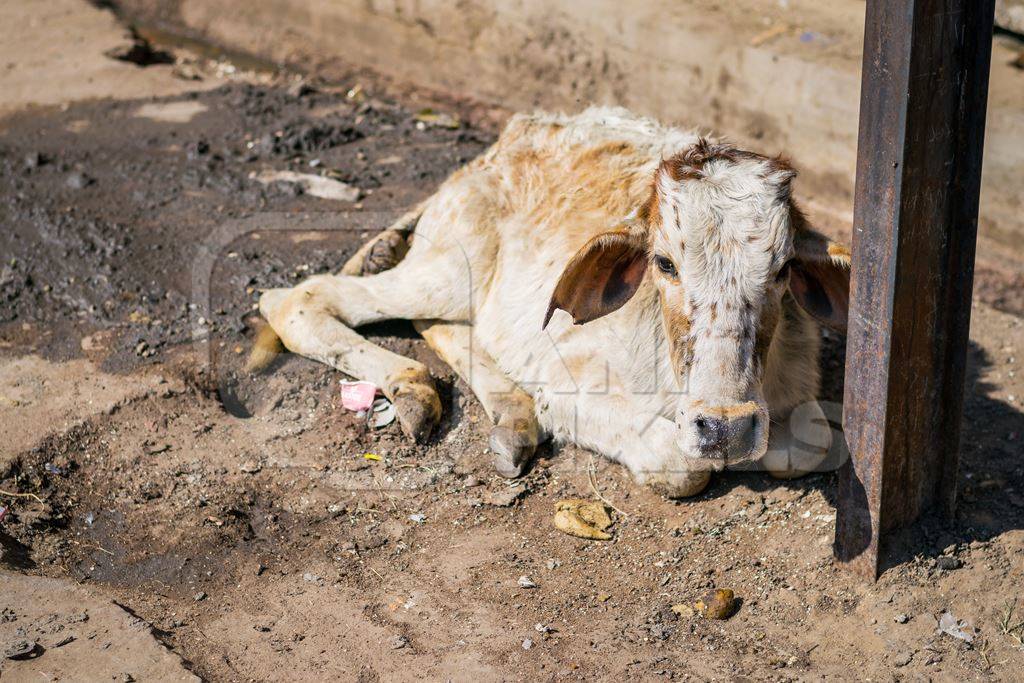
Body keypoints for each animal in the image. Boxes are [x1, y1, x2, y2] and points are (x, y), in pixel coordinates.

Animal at [251, 108, 851, 501]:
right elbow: (679, 464)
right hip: (446, 269)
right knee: (297, 299)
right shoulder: (572, 384)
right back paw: (419, 390)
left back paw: (510, 422)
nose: (724, 427)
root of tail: (505, 140)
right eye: (664, 263)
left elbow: (813, 443)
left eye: (783, 268)